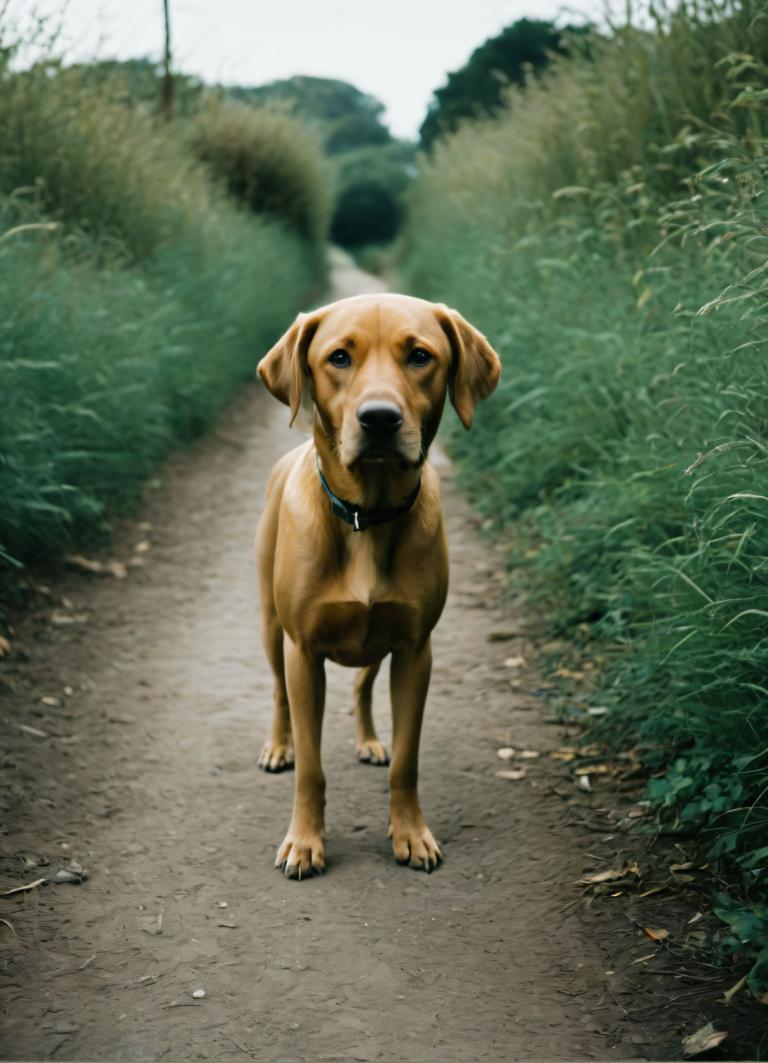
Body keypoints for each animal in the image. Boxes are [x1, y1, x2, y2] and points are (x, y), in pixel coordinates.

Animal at [254, 293, 499, 880]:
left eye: (420, 356)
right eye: (339, 357)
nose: (380, 418)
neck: (367, 514)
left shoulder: (415, 652)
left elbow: (407, 761)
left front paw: (411, 833)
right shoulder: (302, 653)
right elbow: (312, 767)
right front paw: (304, 842)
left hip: (375, 642)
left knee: (363, 686)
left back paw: (368, 740)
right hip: (272, 630)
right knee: (277, 693)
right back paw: (278, 746)